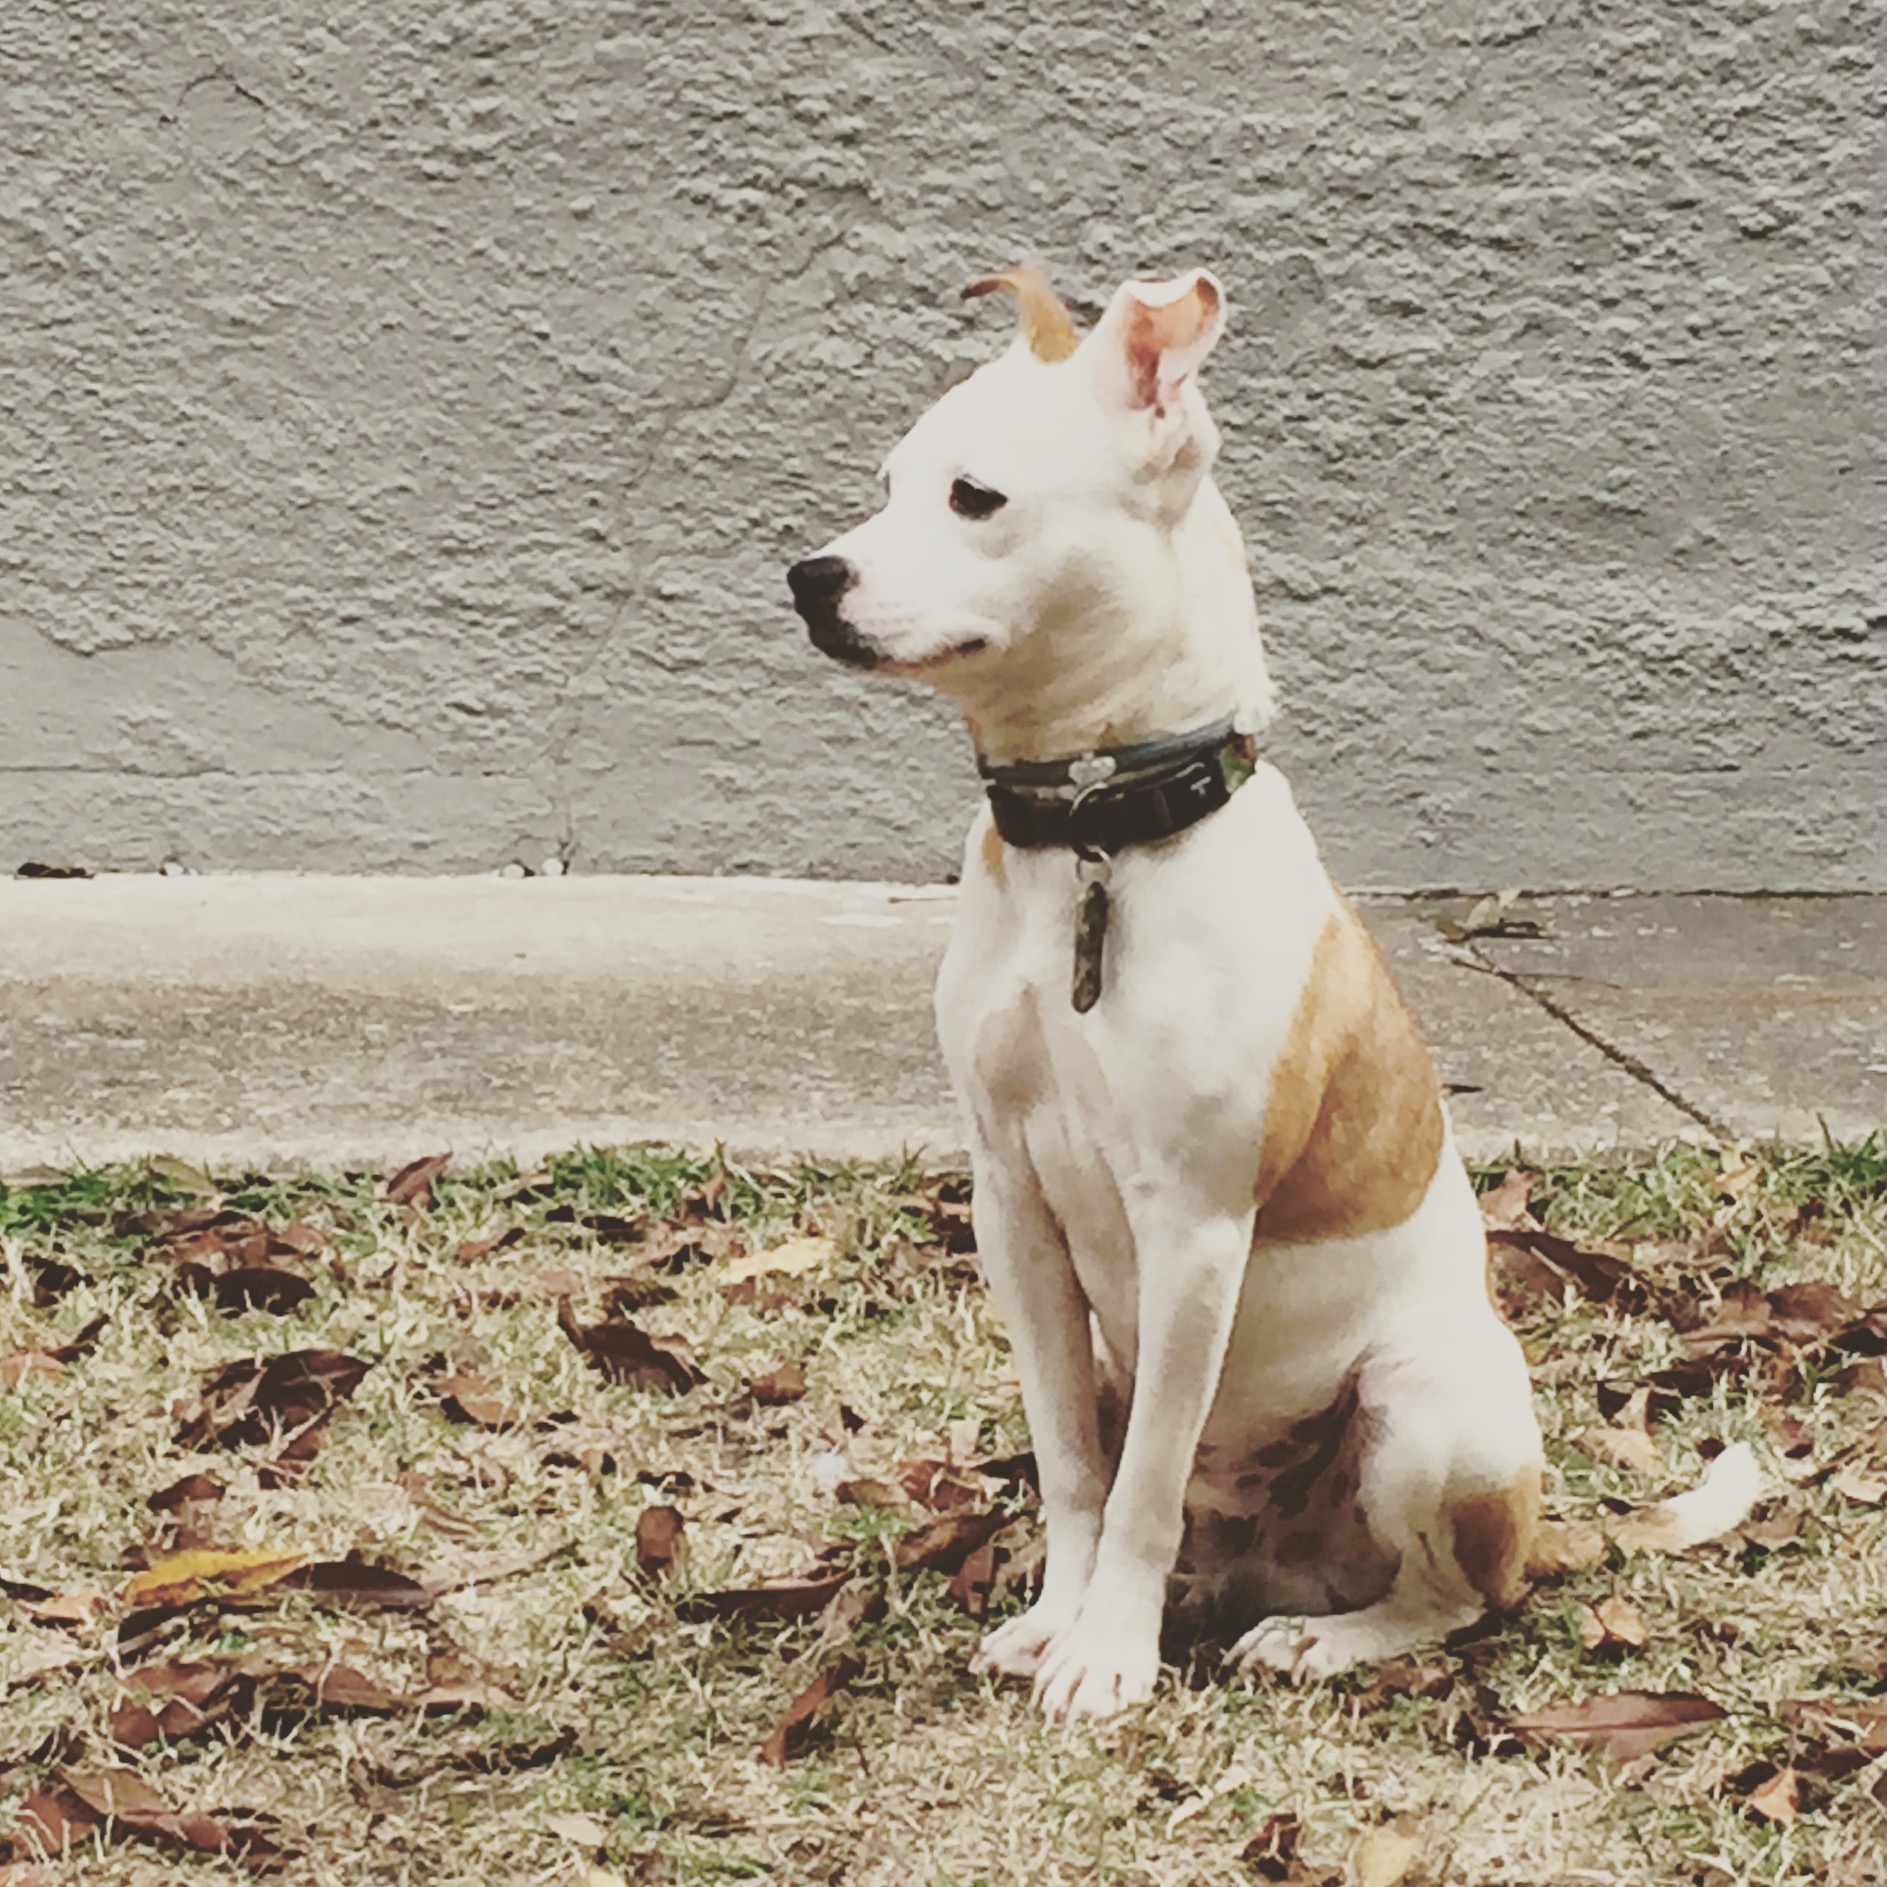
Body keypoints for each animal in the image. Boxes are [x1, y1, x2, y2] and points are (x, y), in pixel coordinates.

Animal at [788, 266, 1750, 1722]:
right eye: (887, 483)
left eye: (974, 496)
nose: (809, 576)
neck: (1097, 841)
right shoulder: (1011, 1207)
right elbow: (1078, 1468)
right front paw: (1059, 1620)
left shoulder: (1191, 1230)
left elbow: (1137, 1487)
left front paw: (1106, 1655)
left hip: (1425, 1405)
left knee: (1452, 1598)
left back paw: (1321, 1639)